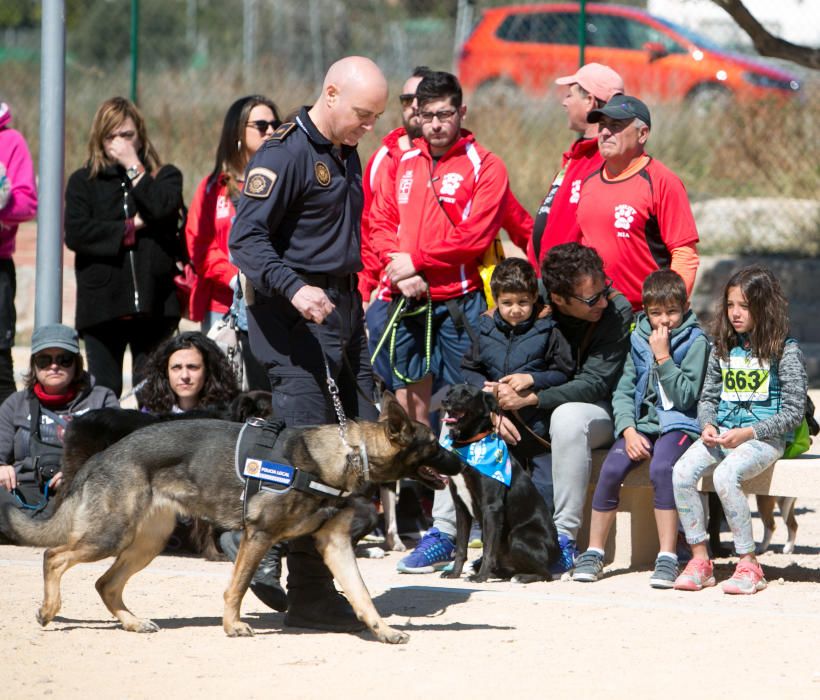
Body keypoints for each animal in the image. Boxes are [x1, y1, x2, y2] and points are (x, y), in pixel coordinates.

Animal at [0, 396, 462, 644]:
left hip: (146, 543)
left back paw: (132, 622)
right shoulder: (258, 536)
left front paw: (382, 631)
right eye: (436, 444)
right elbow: (236, 587)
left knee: (105, 583)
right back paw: (49, 609)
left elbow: (363, 596)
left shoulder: (335, 545)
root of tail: (103, 455)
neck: (346, 455)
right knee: (54, 556)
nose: (460, 461)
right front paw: (232, 625)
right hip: (110, 536)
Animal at [438, 386, 560, 584]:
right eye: (450, 392)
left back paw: (521, 577)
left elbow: (488, 549)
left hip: (518, 537)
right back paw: (499, 573)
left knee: (546, 574)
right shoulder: (461, 507)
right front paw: (455, 573)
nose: (445, 401)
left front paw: (480, 577)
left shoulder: (491, 507)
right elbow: (461, 547)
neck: (469, 444)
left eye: (467, 394)